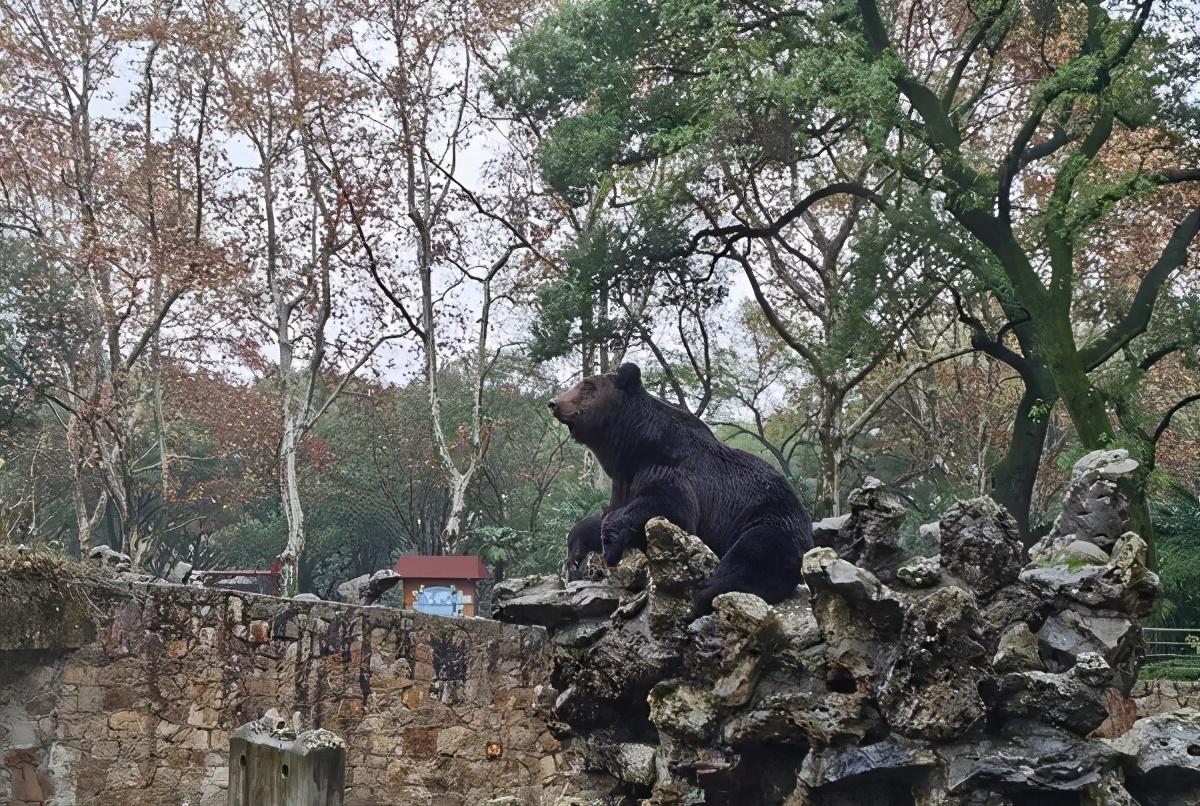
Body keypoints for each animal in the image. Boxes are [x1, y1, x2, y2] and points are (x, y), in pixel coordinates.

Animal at [549, 362, 811, 614]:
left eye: (587, 386)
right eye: (580, 383)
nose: (554, 402)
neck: (635, 448)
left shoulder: (673, 471)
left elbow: (668, 508)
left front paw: (611, 544)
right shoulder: (624, 482)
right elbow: (597, 519)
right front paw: (574, 556)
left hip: (769, 518)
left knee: (753, 555)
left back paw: (701, 596)